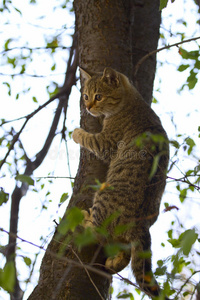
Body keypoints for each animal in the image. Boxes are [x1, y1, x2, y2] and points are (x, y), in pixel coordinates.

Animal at [72, 67, 169, 298]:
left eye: (98, 96)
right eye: (86, 96)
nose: (88, 107)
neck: (130, 102)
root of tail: (140, 225)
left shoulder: (105, 142)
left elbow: (89, 138)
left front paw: (77, 132)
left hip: (102, 196)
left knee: (97, 233)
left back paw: (85, 218)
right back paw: (114, 262)